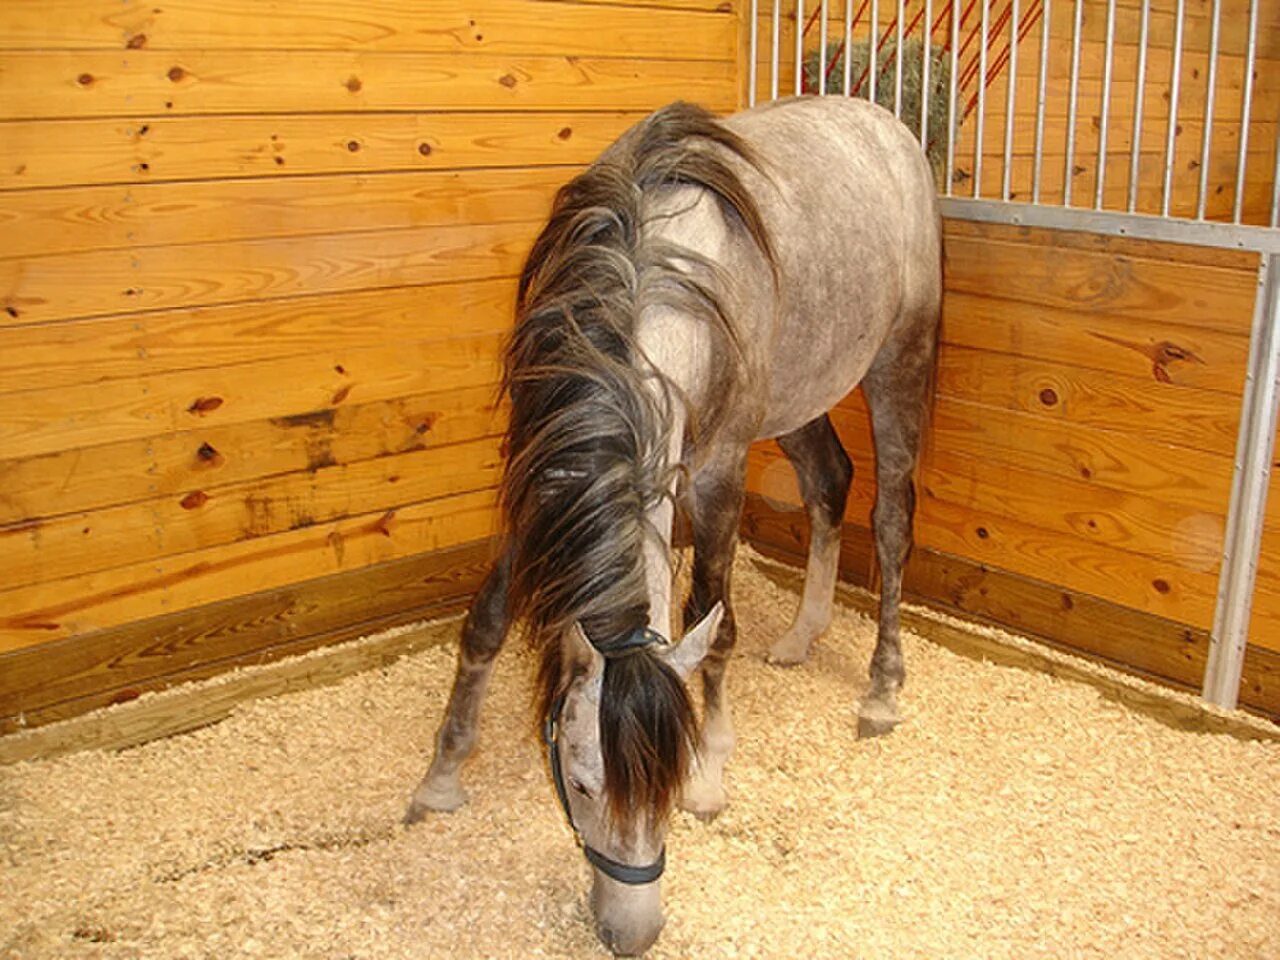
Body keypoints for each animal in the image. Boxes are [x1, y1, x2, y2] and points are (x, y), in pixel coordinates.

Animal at [401, 96, 942, 957]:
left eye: (671, 778)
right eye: (581, 782)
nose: (633, 933)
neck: (649, 289)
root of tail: (884, 123)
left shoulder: (719, 472)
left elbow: (711, 625)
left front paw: (715, 773)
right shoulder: (548, 479)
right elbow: (484, 622)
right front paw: (441, 778)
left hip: (899, 362)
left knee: (891, 521)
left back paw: (883, 690)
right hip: (798, 396)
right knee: (829, 485)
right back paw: (802, 635)